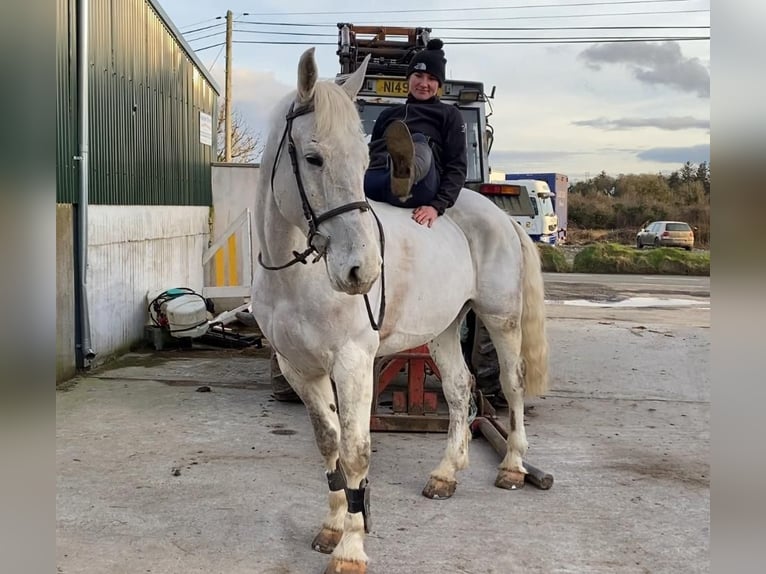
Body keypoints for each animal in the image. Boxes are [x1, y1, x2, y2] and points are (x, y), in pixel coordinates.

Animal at [254, 49, 552, 574]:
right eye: (313, 158)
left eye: (361, 159)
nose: (363, 272)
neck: (295, 279)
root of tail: (499, 216)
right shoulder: (298, 368)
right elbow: (329, 444)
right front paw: (332, 527)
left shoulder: (353, 363)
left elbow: (355, 453)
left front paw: (351, 551)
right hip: (446, 327)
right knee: (458, 389)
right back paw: (446, 474)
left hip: (500, 319)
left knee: (511, 384)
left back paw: (514, 466)